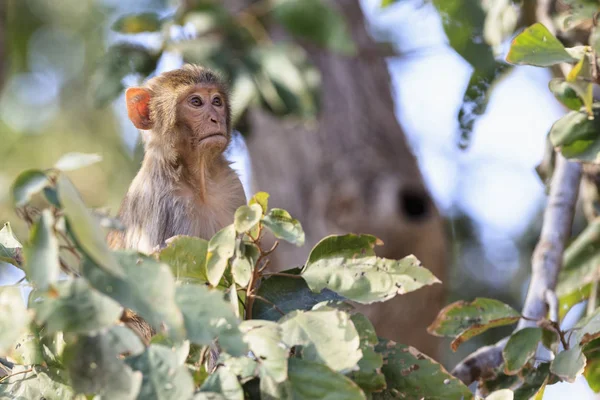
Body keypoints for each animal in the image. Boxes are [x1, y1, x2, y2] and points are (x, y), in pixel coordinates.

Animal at [108, 65, 246, 344]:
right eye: (196, 102)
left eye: (217, 101)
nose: (215, 119)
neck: (197, 179)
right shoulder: (160, 202)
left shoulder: (233, 187)